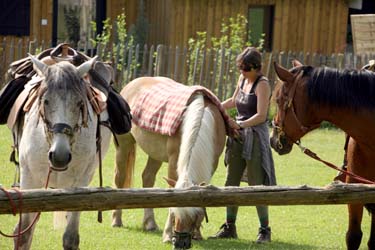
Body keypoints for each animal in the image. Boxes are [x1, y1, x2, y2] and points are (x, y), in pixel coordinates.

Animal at [11, 55, 111, 249]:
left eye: (80, 103)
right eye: (45, 101)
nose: (60, 156)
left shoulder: (80, 184)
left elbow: (70, 238)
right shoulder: (29, 180)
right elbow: (23, 234)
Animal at [111, 77, 228, 249]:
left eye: (193, 215)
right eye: (175, 212)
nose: (180, 242)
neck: (200, 119)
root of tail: (132, 84)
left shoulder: (213, 163)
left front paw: (198, 234)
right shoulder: (174, 163)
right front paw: (167, 234)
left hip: (155, 154)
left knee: (147, 178)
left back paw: (150, 223)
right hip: (124, 146)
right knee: (120, 178)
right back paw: (116, 220)